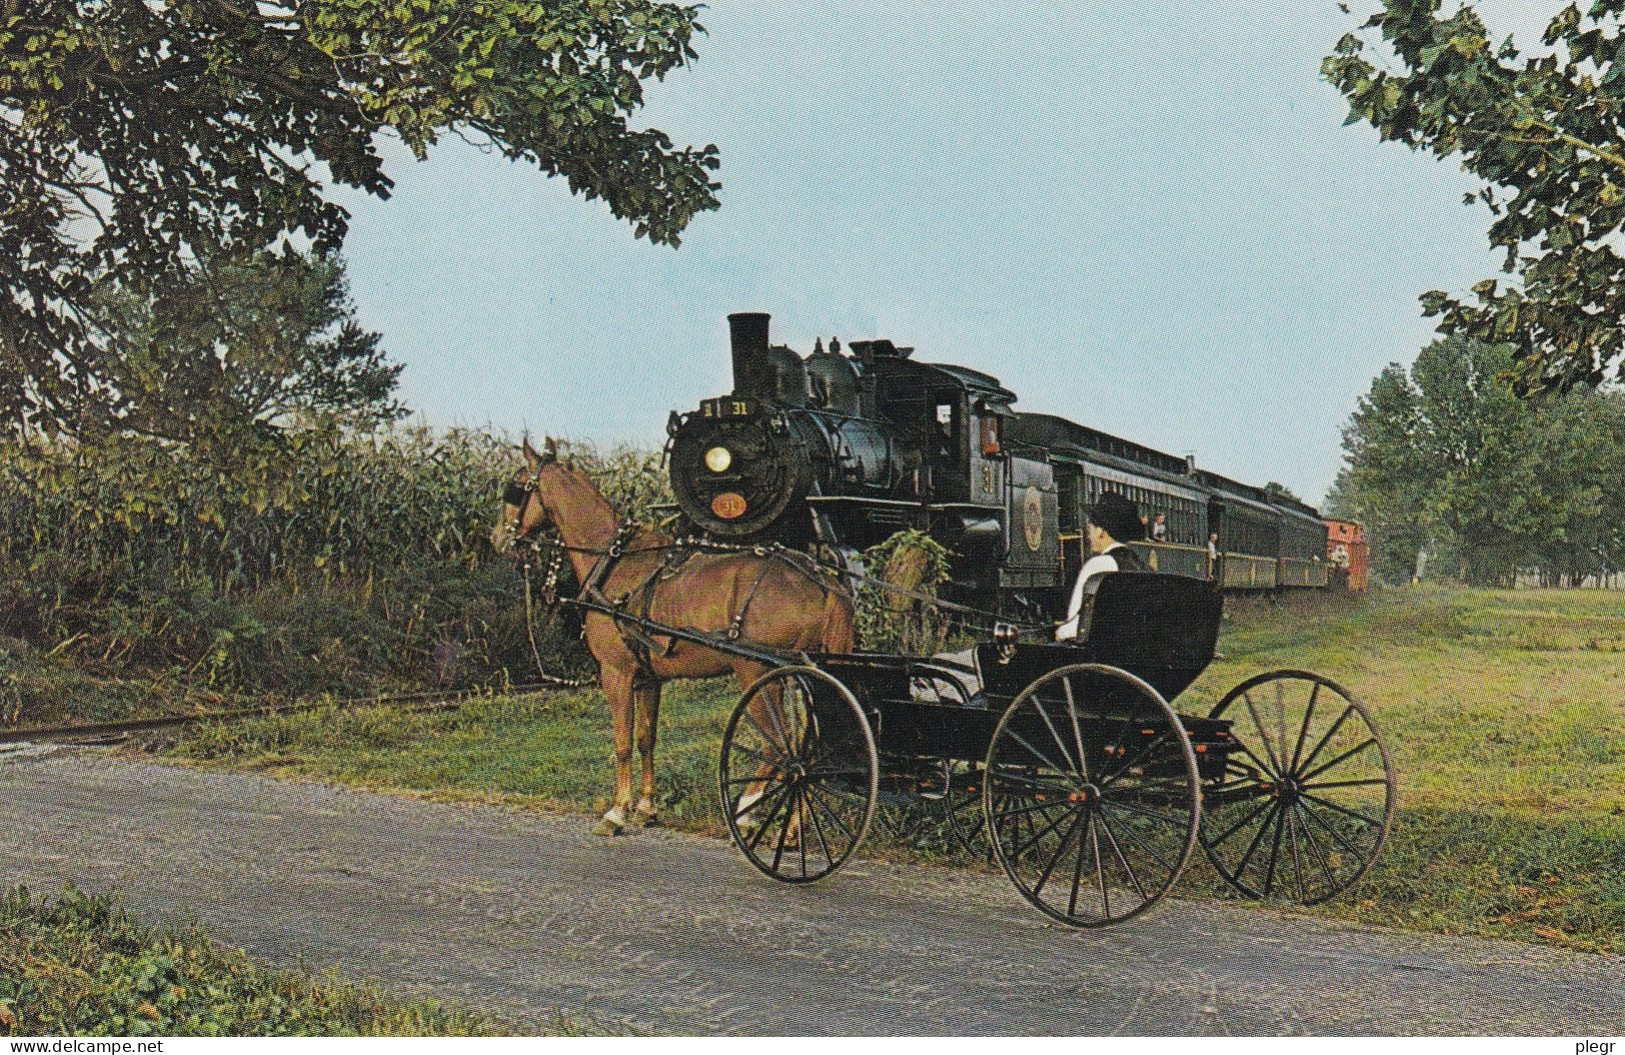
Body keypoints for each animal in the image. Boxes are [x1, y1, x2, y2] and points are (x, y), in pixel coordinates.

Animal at [487, 435, 858, 832]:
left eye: (514, 487)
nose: (497, 539)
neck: (614, 562)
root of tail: (824, 582)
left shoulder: (617, 674)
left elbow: (622, 742)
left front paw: (617, 812)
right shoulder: (648, 677)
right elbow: (646, 739)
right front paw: (646, 807)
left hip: (759, 673)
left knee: (779, 744)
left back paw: (747, 809)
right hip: (805, 676)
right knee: (809, 744)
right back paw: (792, 828)